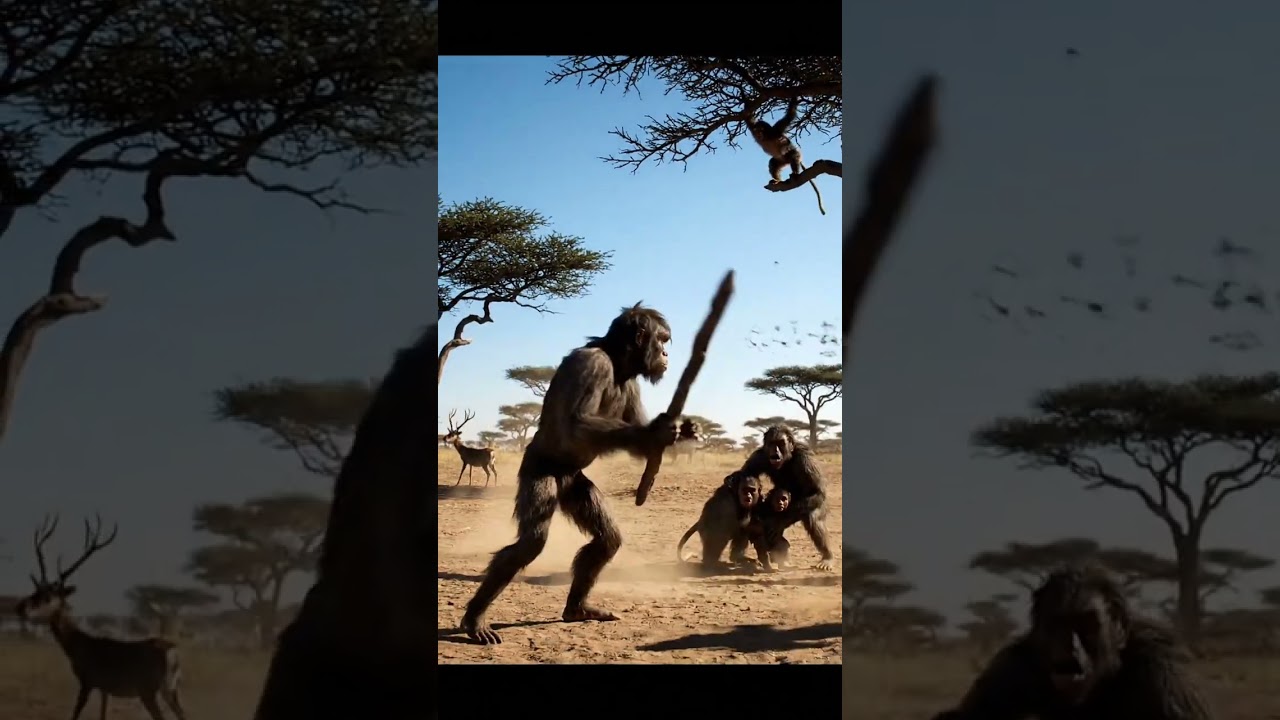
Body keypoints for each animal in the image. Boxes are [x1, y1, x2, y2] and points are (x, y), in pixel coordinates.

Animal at [459, 304, 680, 645]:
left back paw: (577, 609)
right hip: (538, 473)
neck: (617, 362)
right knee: (531, 542)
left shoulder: (632, 386)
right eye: (662, 339)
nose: (667, 353)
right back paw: (475, 620)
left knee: (606, 539)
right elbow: (578, 421)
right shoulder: (591, 366)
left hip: (574, 484)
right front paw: (657, 431)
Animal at [729, 425, 835, 571]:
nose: (776, 450)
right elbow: (746, 474)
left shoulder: (805, 458)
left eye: (780, 443)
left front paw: (778, 523)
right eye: (772, 443)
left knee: (813, 517)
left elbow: (816, 490)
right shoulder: (759, 457)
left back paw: (826, 558)